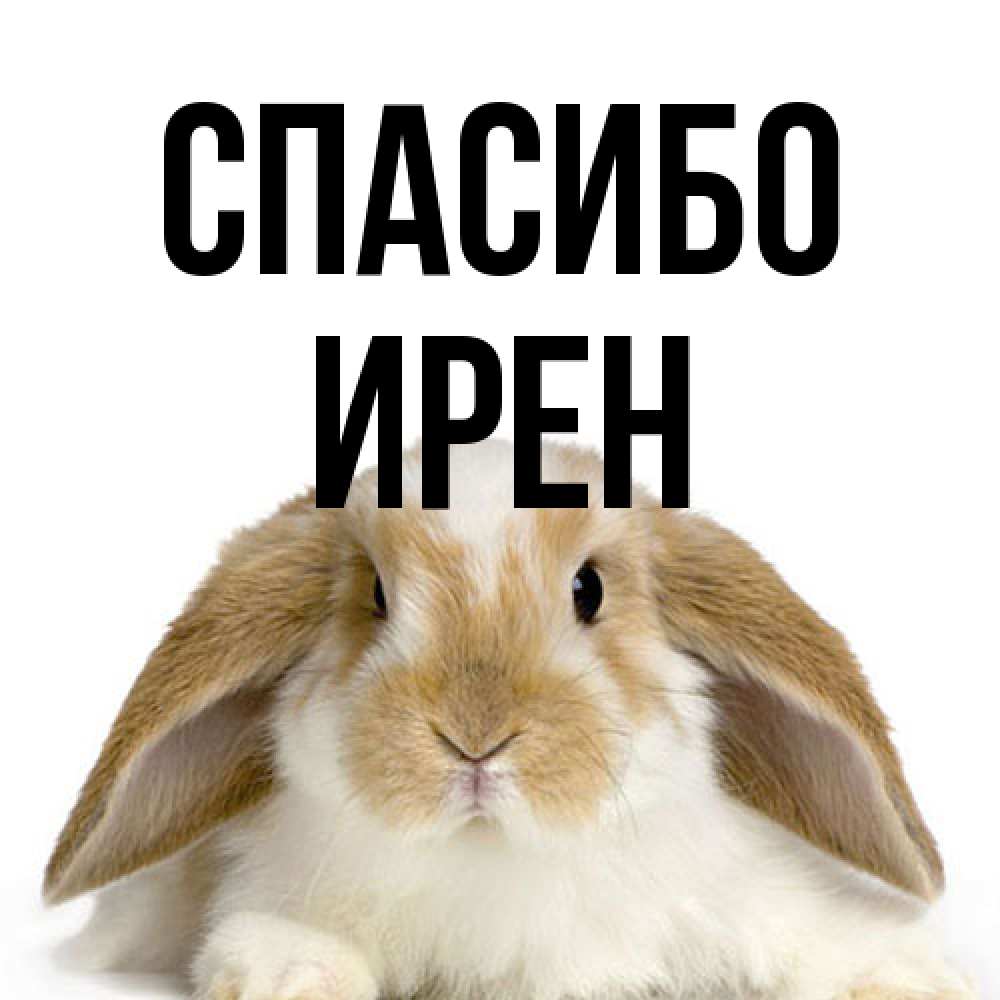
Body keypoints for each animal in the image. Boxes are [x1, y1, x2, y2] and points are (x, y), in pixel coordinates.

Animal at [45, 439, 975, 1000]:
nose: (475, 736)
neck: (495, 857)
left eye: (589, 589)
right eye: (376, 595)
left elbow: (818, 939)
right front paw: (290, 976)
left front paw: (909, 978)